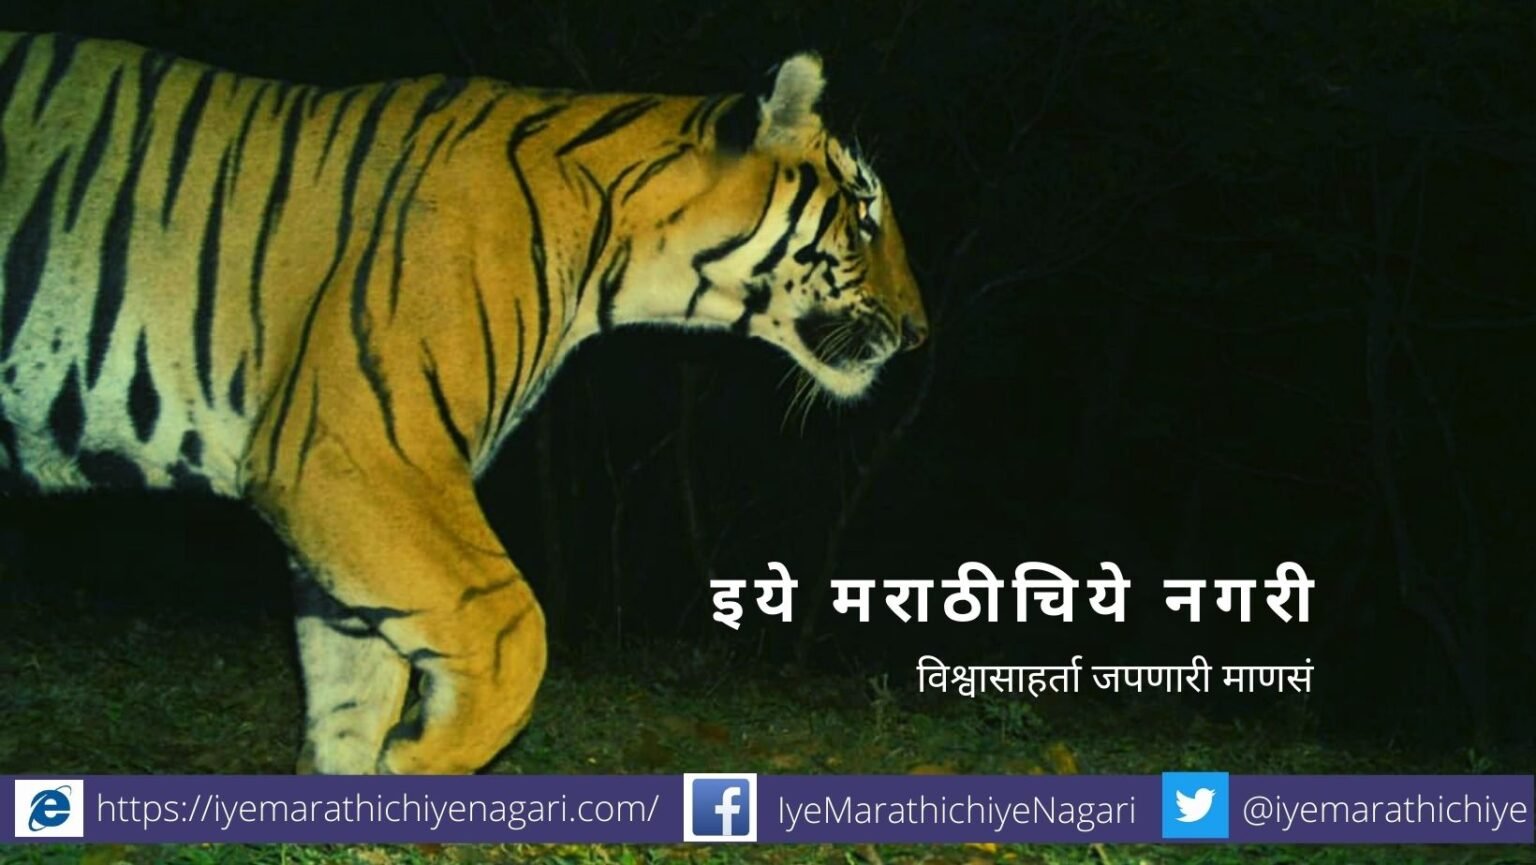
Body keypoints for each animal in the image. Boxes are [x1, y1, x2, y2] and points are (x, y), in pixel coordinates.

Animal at [0, 31, 926, 774]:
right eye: (865, 216)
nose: (920, 331)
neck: (617, 256)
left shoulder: (350, 494)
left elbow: (352, 680)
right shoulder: (359, 449)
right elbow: (512, 629)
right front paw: (422, 757)